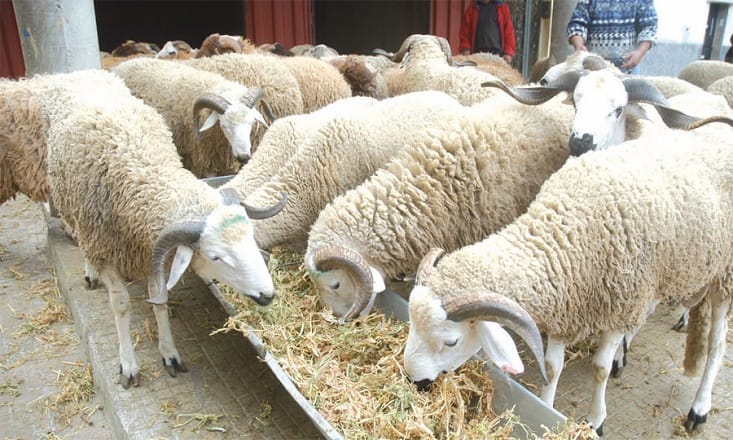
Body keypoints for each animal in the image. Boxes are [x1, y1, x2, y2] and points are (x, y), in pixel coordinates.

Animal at [40, 69, 286, 388]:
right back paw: (90, 271)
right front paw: (128, 364)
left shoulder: (149, 252)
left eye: (250, 240)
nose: (268, 295)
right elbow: (121, 306)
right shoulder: (108, 249)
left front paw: (169, 353)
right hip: (72, 202)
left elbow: (160, 300)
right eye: (216, 257)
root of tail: (77, 72)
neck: (144, 177)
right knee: (79, 233)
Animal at [403, 129, 733, 435]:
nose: (415, 382)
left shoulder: (621, 306)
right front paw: (547, 408)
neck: (565, 232)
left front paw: (596, 420)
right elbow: (552, 367)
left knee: (716, 346)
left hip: (724, 277)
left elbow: (599, 369)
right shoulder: (566, 302)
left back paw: (699, 408)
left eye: (451, 341)